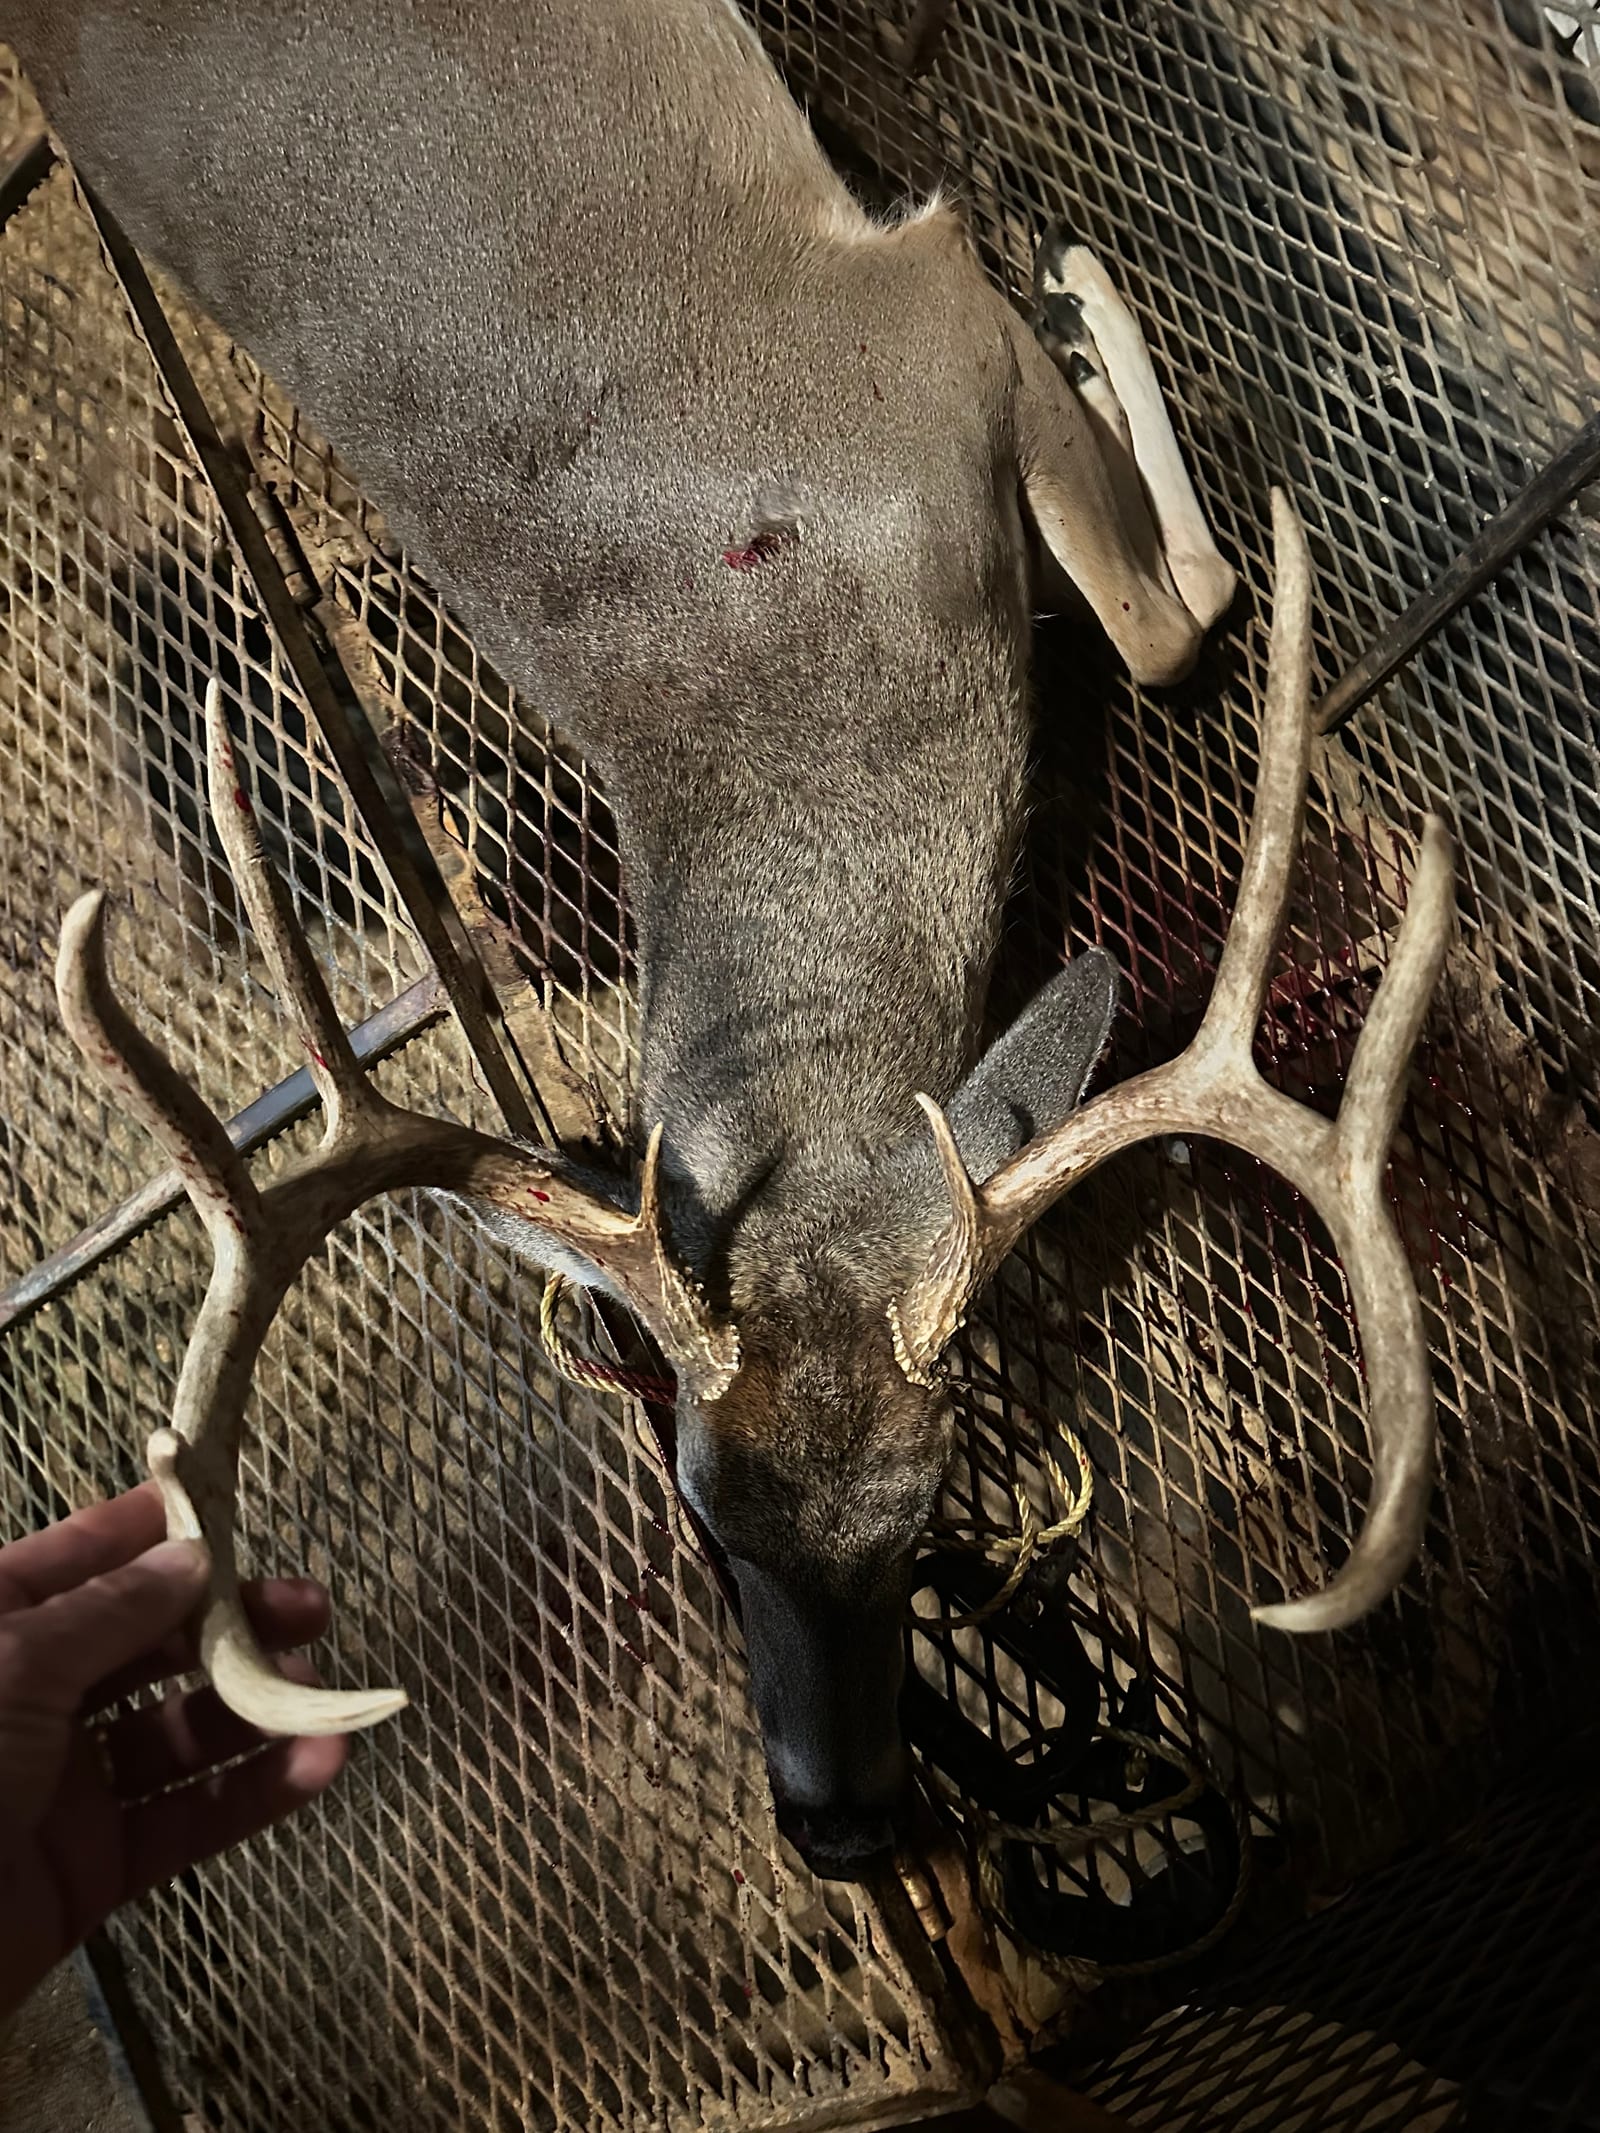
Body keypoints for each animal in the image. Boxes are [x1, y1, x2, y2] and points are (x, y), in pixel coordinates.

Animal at [16, 0, 1451, 1880]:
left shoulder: (925, 333)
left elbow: (1169, 618)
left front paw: (1082, 288)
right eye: (704, 1506)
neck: (815, 711)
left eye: (929, 1503)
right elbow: (1164, 611)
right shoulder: (921, 347)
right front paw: (1085, 297)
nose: (839, 1826)